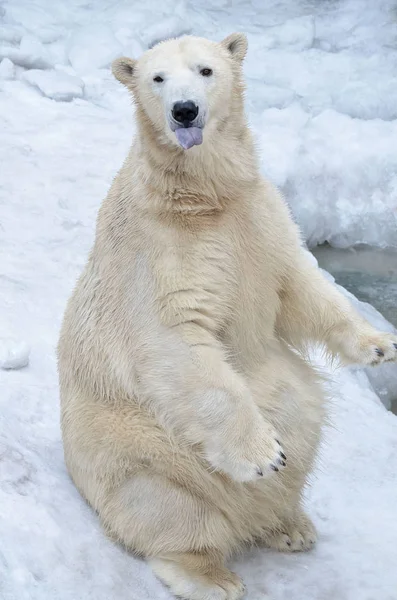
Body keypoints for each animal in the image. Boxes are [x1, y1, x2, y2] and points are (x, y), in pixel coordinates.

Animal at [58, 34, 396, 600]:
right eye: (156, 78)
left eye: (206, 70)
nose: (184, 110)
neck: (201, 198)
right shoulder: (157, 255)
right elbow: (174, 340)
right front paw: (264, 453)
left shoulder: (259, 219)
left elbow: (298, 288)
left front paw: (378, 345)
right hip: (141, 452)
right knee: (169, 507)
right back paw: (213, 573)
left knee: (305, 417)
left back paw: (289, 525)